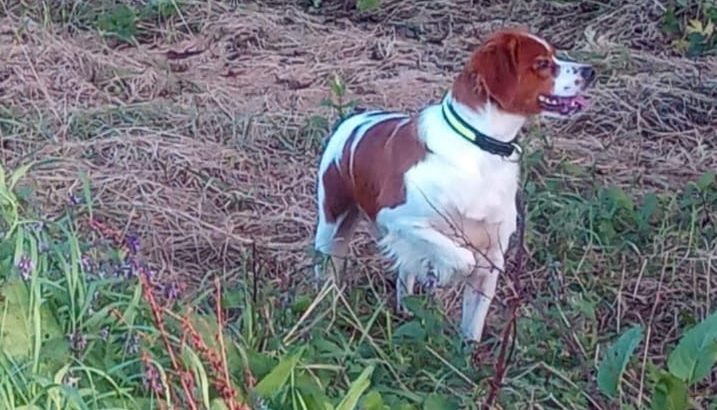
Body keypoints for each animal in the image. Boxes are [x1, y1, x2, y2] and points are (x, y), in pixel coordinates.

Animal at [312, 28, 592, 342]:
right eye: (542, 63)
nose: (590, 71)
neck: (479, 146)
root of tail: (356, 119)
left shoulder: (492, 255)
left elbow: (472, 327)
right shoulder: (399, 219)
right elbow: (462, 256)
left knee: (405, 275)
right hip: (331, 229)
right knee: (328, 272)